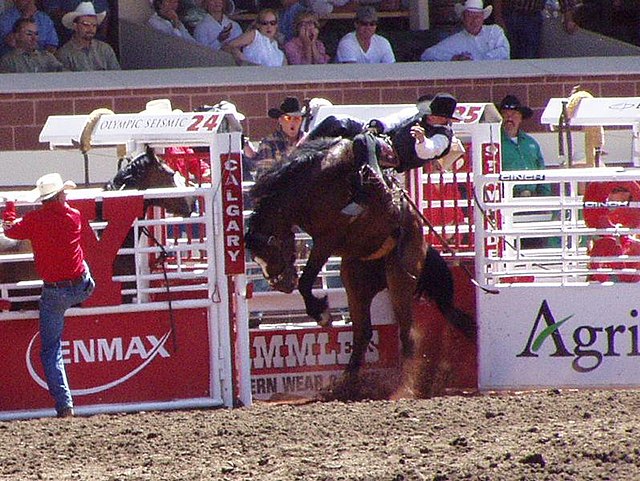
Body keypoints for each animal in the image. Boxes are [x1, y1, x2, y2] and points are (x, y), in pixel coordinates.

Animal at [245, 136, 476, 398]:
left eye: (270, 251)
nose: (281, 285)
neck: (315, 184)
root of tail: (423, 241)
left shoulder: (327, 240)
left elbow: (306, 281)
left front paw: (321, 313)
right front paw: (321, 312)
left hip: (400, 278)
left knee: (406, 335)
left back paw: (402, 388)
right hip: (356, 280)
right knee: (362, 333)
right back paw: (343, 385)